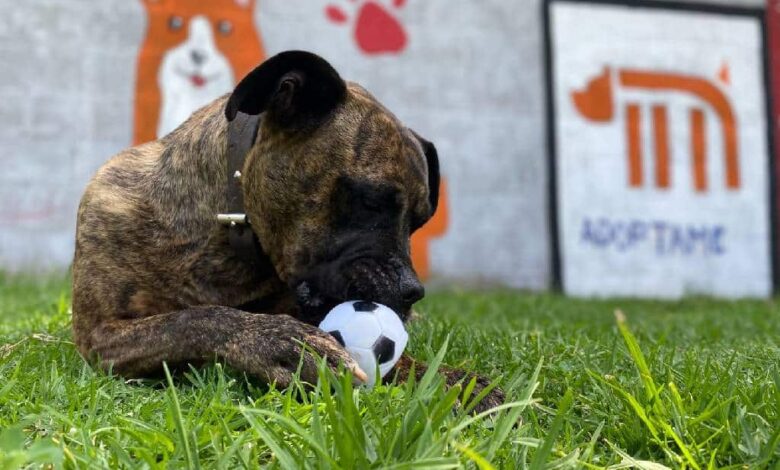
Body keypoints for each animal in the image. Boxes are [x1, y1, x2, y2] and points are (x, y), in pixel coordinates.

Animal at [71, 51, 500, 410]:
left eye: (420, 221)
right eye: (370, 199)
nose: (412, 291)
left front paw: (455, 380)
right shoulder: (99, 335)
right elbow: (195, 319)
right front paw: (281, 343)